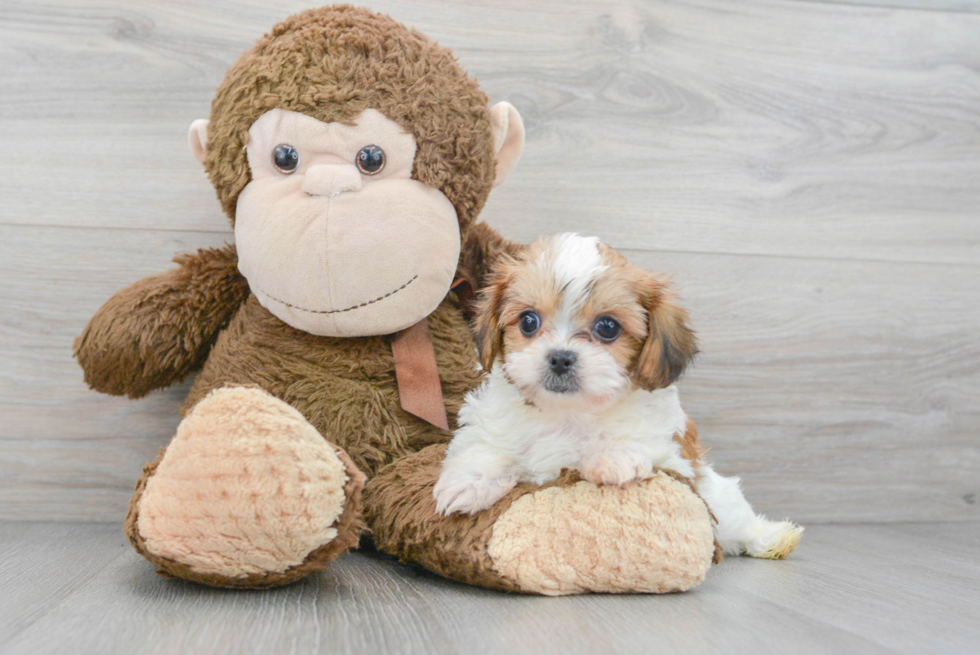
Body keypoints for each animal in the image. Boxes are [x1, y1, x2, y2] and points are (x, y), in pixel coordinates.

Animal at [436, 233, 804, 560]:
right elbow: (485, 448)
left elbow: (636, 443)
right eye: (528, 321)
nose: (560, 357)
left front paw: (613, 457)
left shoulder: (672, 454)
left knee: (738, 521)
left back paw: (774, 538)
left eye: (608, 327)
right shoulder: (492, 424)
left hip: (719, 498)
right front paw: (467, 484)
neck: (567, 414)